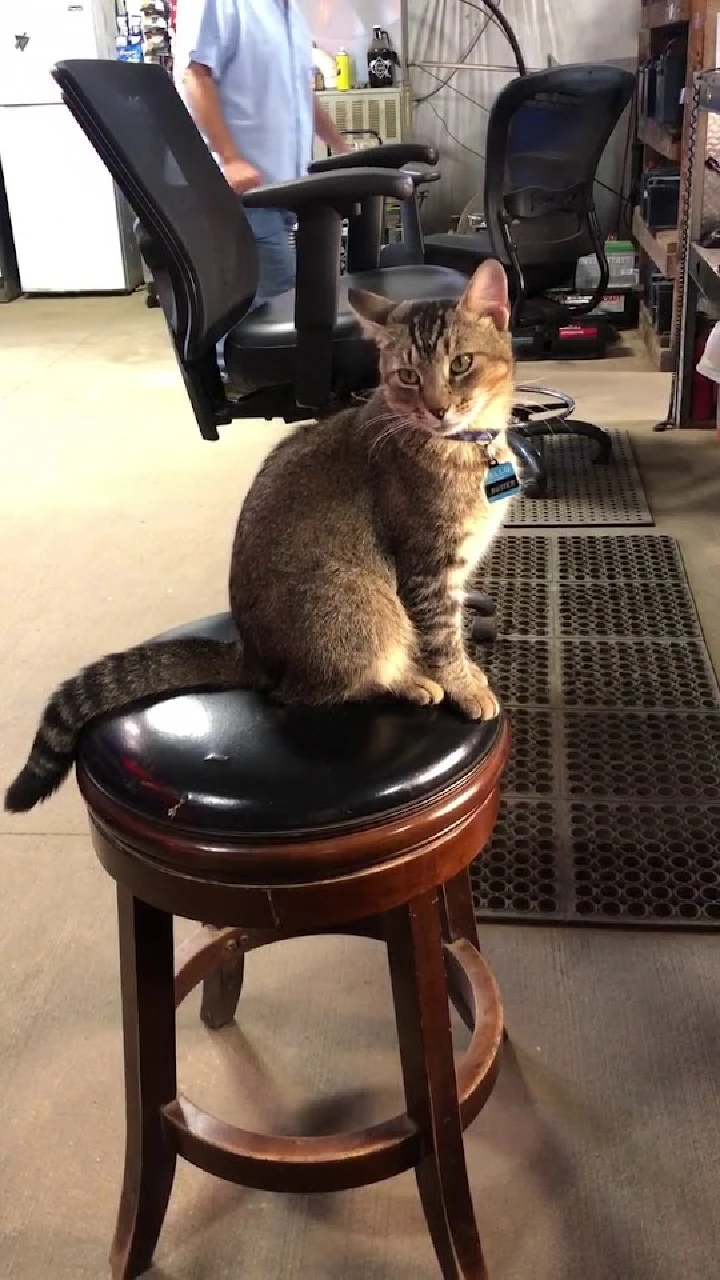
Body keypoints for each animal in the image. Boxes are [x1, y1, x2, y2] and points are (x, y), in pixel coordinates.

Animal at [4, 259, 515, 814]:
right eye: (407, 376)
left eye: (461, 363)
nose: (437, 409)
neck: (467, 449)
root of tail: (251, 654)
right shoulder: (427, 567)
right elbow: (442, 637)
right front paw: (462, 684)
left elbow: (452, 627)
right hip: (358, 602)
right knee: (305, 690)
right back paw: (408, 683)